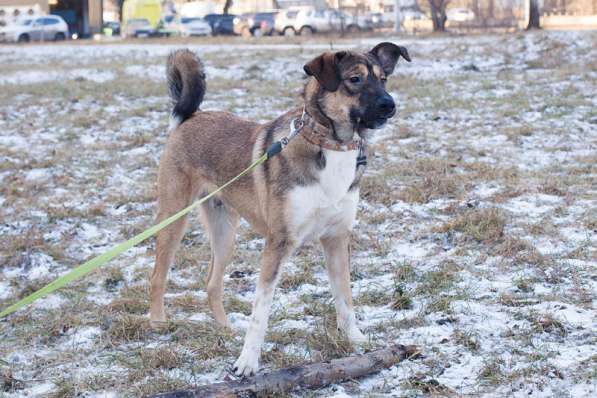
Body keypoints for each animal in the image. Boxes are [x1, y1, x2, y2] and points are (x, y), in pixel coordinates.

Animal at [149, 43, 410, 376]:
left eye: (383, 78)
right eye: (355, 79)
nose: (390, 105)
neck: (331, 145)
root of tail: (188, 118)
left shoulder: (337, 238)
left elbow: (345, 296)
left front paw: (355, 339)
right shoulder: (278, 243)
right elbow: (260, 311)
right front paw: (247, 362)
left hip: (225, 232)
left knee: (212, 282)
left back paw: (225, 329)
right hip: (173, 217)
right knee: (157, 276)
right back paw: (158, 324)